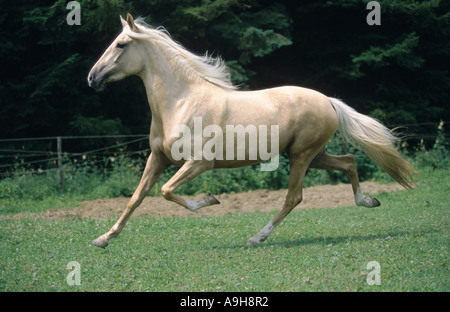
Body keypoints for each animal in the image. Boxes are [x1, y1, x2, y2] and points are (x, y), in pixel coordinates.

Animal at [86, 14, 416, 249]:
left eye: (121, 44)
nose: (92, 77)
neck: (181, 101)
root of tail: (329, 101)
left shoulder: (199, 163)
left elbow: (166, 191)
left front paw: (210, 200)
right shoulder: (158, 158)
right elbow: (137, 197)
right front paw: (103, 239)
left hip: (302, 156)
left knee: (293, 198)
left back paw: (257, 238)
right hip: (312, 154)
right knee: (348, 161)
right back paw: (367, 201)